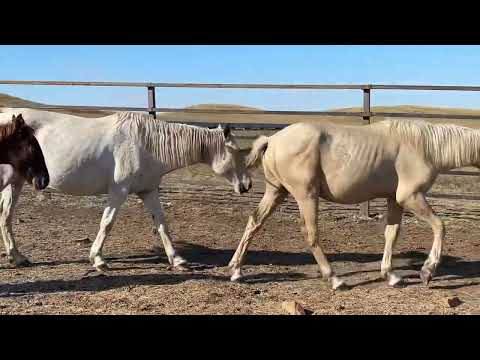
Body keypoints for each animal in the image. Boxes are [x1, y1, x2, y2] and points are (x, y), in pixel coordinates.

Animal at [0, 108, 253, 272]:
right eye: (234, 152)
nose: (247, 184)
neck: (145, 144)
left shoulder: (149, 191)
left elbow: (162, 224)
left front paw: (177, 260)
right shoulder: (119, 192)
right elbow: (107, 223)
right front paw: (98, 260)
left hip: (15, 183)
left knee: (6, 216)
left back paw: (18, 257)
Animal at [228, 119, 480, 290]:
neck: (424, 147)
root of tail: (271, 140)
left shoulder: (395, 199)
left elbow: (392, 234)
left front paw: (390, 275)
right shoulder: (411, 197)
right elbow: (440, 226)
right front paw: (428, 271)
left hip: (276, 191)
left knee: (254, 221)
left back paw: (236, 270)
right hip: (306, 195)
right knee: (310, 233)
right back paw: (335, 279)